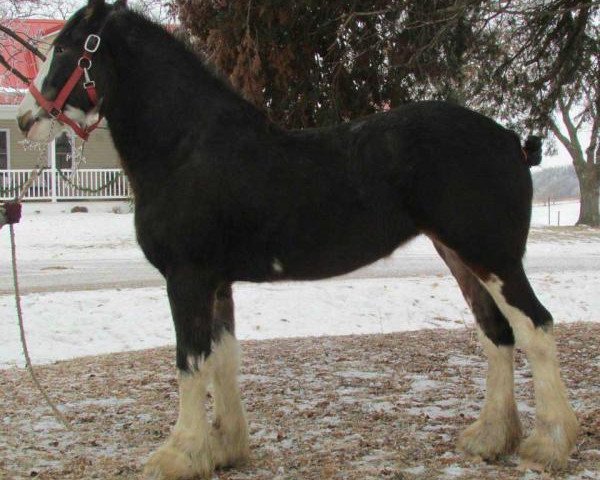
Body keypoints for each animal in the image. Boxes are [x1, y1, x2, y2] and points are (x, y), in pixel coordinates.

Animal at [16, 1, 576, 478]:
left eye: (64, 49)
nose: (24, 119)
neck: (186, 149)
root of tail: (511, 140)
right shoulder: (217, 283)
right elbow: (223, 359)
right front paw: (224, 449)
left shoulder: (187, 278)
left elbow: (190, 362)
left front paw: (179, 454)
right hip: (460, 256)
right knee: (496, 333)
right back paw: (491, 439)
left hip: (493, 256)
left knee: (535, 328)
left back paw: (550, 444)